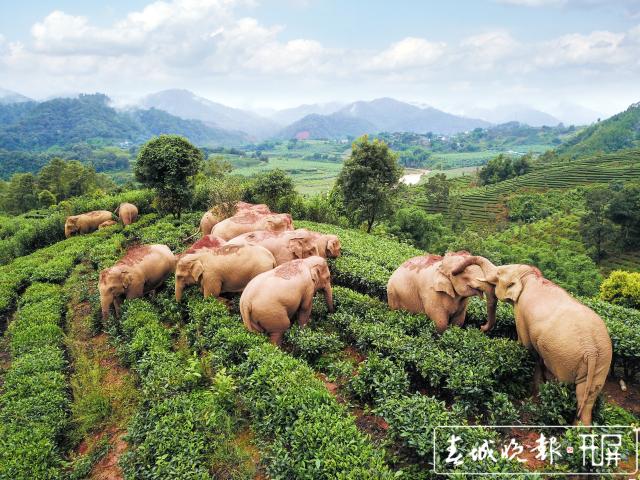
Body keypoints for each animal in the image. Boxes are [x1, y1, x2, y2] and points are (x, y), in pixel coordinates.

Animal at [472, 261, 613, 426]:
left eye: (499, 273)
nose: (481, 327)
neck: (529, 276)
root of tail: (591, 350)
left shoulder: (520, 313)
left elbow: (526, 346)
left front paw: (534, 393)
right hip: (602, 361)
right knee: (586, 396)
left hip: (564, 358)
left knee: (564, 384)